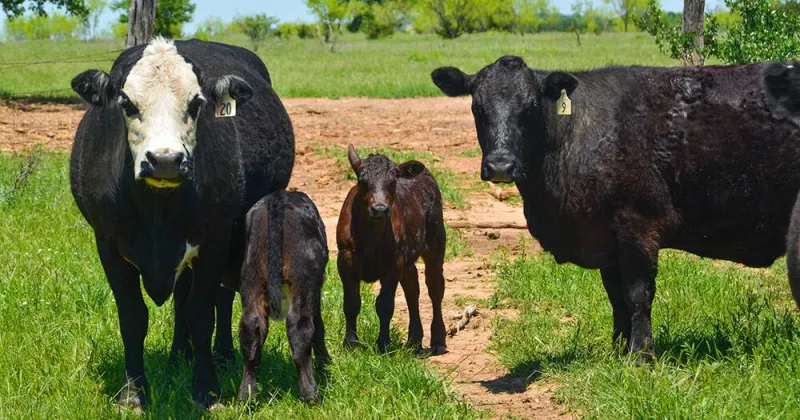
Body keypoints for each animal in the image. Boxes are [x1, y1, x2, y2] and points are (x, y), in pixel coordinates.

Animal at [69, 38, 294, 408]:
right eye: (126, 103)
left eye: (196, 103)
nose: (165, 160)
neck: (158, 211)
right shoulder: (108, 243)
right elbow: (133, 317)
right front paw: (133, 393)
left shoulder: (216, 239)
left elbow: (201, 312)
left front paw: (206, 389)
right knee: (180, 296)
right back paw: (178, 354)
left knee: (220, 296)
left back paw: (222, 355)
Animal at [238, 190, 331, 403]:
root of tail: (277, 198)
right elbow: (319, 326)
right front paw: (325, 363)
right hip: (303, 277)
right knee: (300, 327)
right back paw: (311, 395)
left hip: (251, 274)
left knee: (251, 328)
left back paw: (247, 396)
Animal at [337, 145, 447, 355]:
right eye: (361, 181)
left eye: (393, 181)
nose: (379, 208)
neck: (369, 238)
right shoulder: (345, 260)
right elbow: (351, 303)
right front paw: (351, 344)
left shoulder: (393, 264)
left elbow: (385, 304)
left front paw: (384, 344)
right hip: (408, 259)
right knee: (412, 289)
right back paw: (414, 341)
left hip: (436, 243)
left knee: (435, 288)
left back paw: (438, 340)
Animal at [431, 56, 800, 360]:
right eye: (477, 108)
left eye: (531, 108)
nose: (501, 166)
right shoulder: (606, 240)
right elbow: (616, 298)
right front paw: (618, 351)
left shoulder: (638, 228)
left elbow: (637, 295)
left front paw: (641, 355)